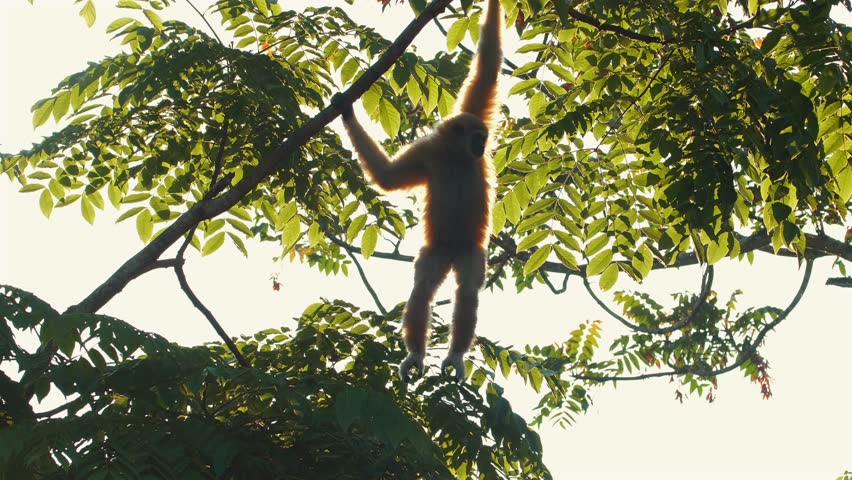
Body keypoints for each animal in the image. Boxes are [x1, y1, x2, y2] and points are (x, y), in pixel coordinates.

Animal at [334, 0, 502, 382]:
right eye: (478, 137)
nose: (482, 146)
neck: (456, 157)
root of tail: (452, 251)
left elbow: (488, 64)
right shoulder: (428, 154)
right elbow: (387, 178)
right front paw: (346, 111)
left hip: (469, 251)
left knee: (466, 290)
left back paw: (455, 355)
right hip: (436, 251)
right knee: (423, 288)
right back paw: (416, 353)